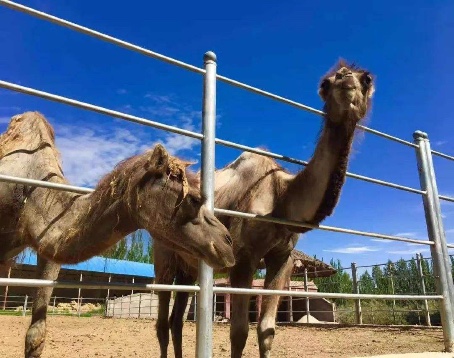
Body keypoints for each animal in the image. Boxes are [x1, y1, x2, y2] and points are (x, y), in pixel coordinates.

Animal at [153, 60, 376, 356]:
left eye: (367, 78)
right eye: (326, 84)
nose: (346, 79)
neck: (281, 199)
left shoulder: (282, 257)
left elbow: (267, 330)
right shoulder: (242, 257)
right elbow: (238, 332)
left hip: (188, 267)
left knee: (176, 320)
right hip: (164, 255)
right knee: (162, 322)